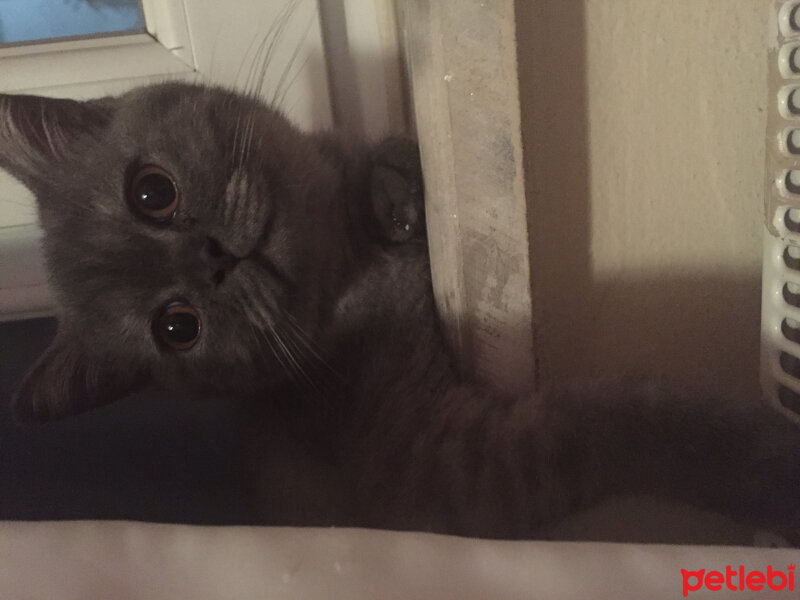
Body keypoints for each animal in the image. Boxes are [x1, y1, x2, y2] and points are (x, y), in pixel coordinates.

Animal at [1, 83, 800, 540]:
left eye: (151, 192)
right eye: (176, 327)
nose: (214, 261)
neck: (350, 267)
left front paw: (395, 185)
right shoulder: (448, 470)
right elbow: (636, 422)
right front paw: (771, 465)